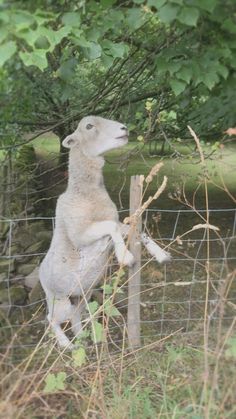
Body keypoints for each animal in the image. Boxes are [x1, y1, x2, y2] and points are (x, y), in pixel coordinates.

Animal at [39, 116, 171, 350]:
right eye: (89, 126)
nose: (124, 128)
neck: (85, 192)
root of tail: (38, 274)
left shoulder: (114, 227)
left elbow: (135, 229)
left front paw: (161, 254)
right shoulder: (79, 234)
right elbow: (111, 225)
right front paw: (125, 256)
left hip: (81, 295)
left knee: (76, 315)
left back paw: (84, 338)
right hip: (57, 299)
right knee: (51, 319)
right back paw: (67, 344)